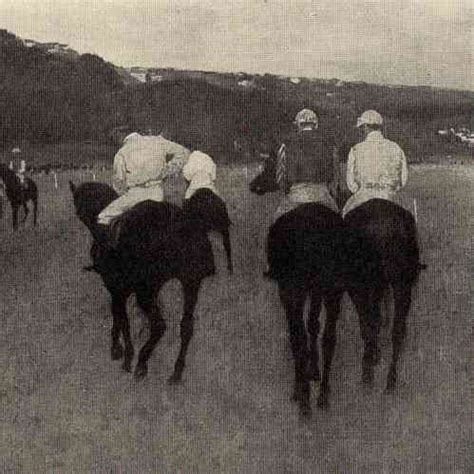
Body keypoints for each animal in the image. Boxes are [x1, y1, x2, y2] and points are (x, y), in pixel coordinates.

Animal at [69, 180, 215, 384]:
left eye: (77, 210)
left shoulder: (116, 288)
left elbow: (122, 319)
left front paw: (124, 354)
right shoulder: (121, 290)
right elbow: (118, 316)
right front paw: (119, 349)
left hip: (146, 293)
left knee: (159, 325)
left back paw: (141, 362)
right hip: (190, 283)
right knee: (186, 326)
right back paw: (176, 371)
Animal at [250, 152, 424, 414]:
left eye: (270, 164)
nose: (254, 186)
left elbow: (311, 325)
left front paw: (310, 374)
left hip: (350, 284)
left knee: (354, 324)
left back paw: (360, 377)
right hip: (398, 281)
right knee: (395, 329)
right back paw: (388, 381)